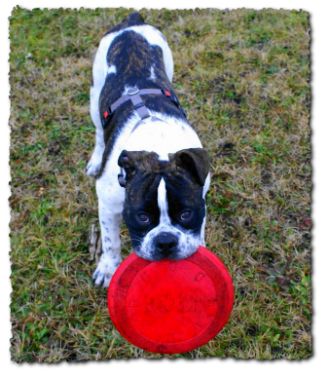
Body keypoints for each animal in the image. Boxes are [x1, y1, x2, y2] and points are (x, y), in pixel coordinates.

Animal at [86, 13, 210, 290]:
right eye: (142, 217)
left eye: (186, 214)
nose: (165, 241)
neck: (158, 150)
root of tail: (131, 22)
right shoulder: (108, 205)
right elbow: (110, 241)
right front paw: (108, 268)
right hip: (95, 94)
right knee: (99, 131)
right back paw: (95, 159)